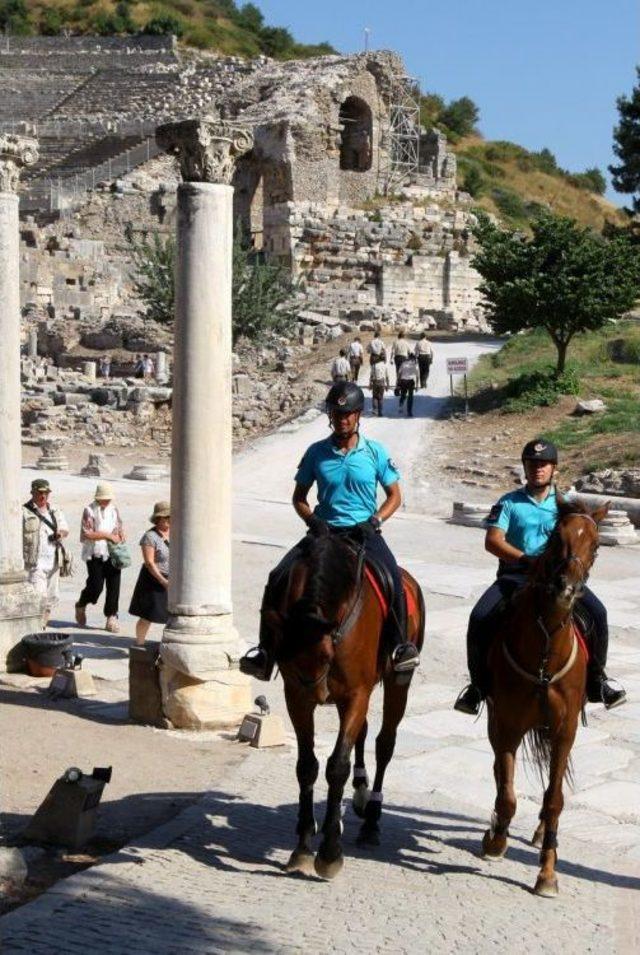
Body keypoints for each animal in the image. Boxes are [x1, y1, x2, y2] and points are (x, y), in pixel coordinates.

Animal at [262, 532, 422, 880]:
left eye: (327, 654)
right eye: (287, 654)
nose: (316, 690)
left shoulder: (355, 694)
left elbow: (337, 766)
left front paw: (330, 853)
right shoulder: (296, 695)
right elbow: (307, 765)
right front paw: (303, 845)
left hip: (396, 682)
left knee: (384, 743)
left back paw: (371, 819)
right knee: (362, 733)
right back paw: (358, 795)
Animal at [480, 500, 608, 896]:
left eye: (596, 546)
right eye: (555, 539)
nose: (566, 589)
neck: (545, 651)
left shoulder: (565, 729)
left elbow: (554, 799)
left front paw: (547, 873)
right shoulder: (507, 724)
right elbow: (506, 792)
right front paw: (496, 841)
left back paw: (539, 835)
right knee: (499, 774)